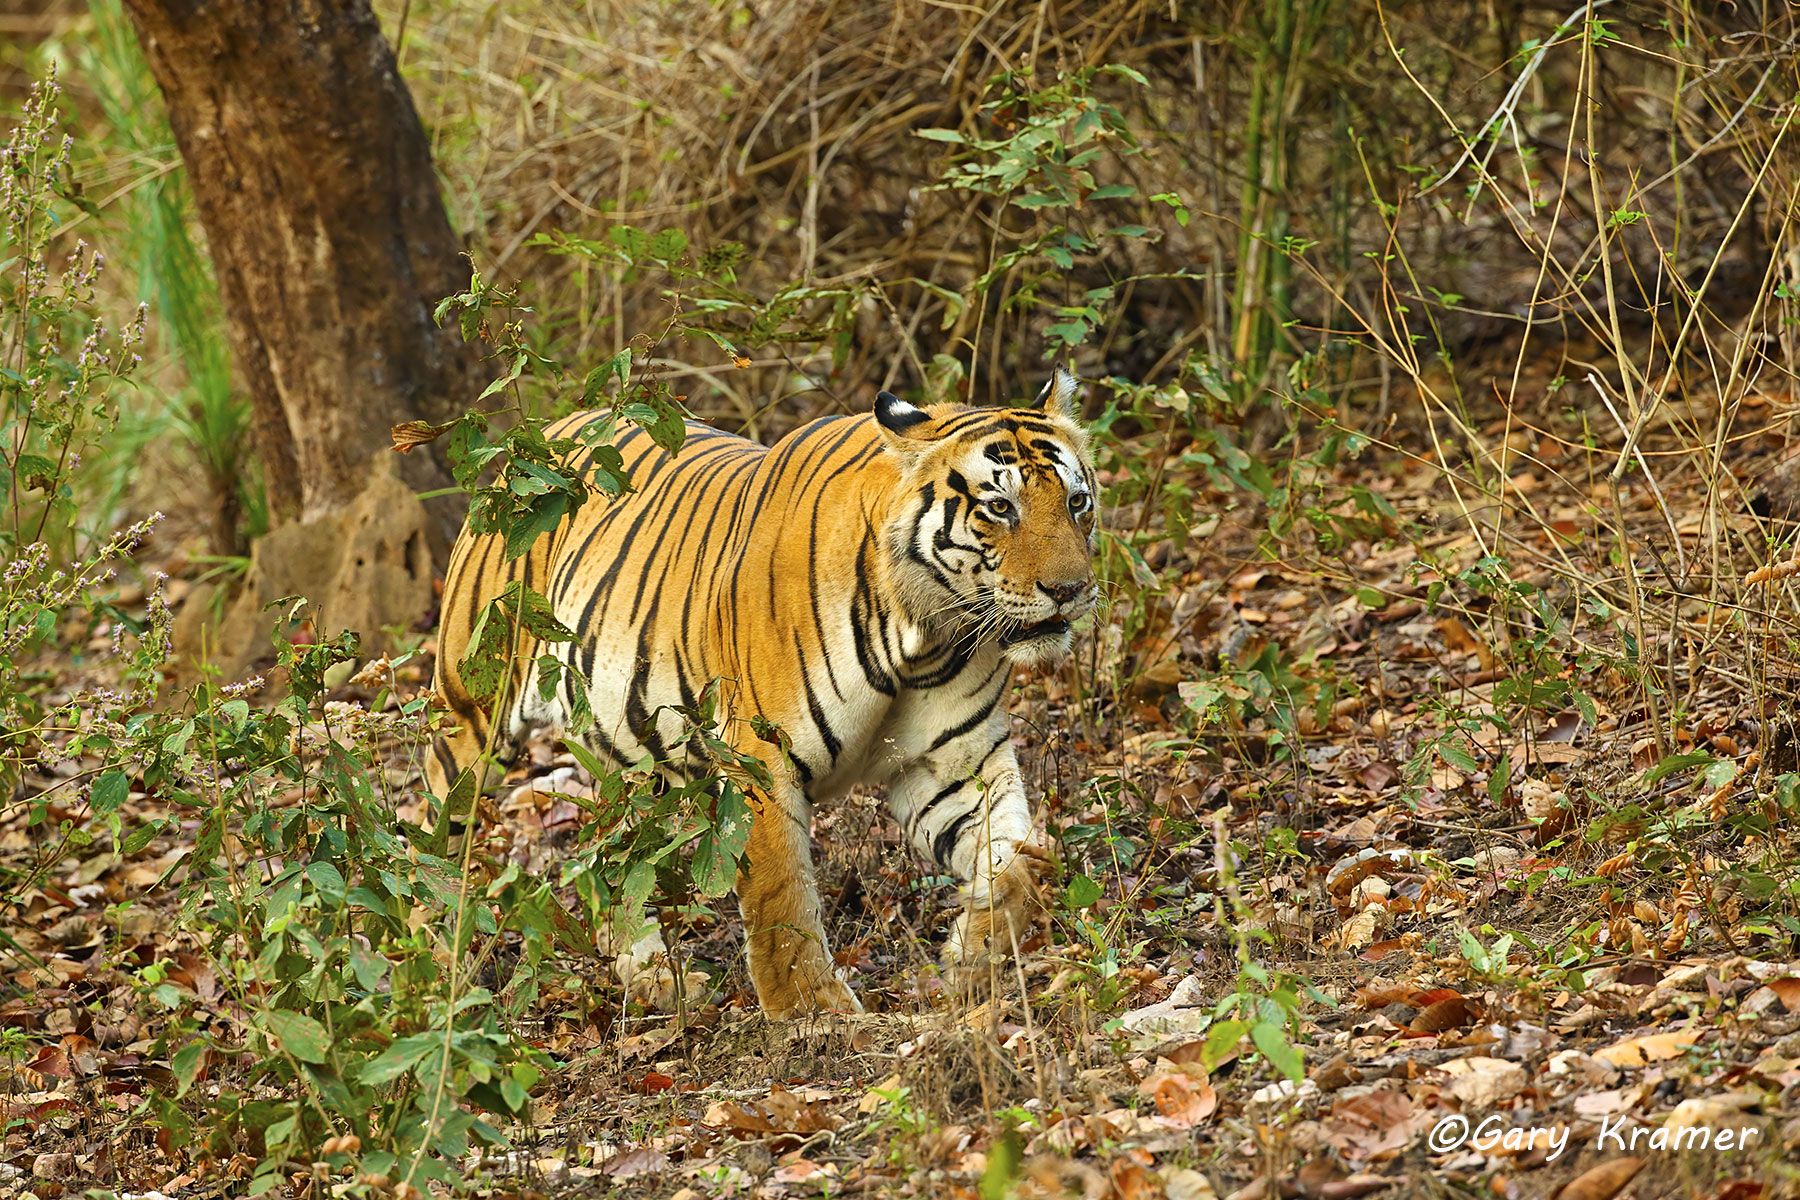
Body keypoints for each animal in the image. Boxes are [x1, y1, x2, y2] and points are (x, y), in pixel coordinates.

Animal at [425, 370, 1099, 1018]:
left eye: (1077, 502)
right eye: (999, 507)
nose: (1070, 590)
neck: (927, 631)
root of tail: (544, 431)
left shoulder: (955, 763)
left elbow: (1017, 865)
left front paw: (971, 959)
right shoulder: (762, 759)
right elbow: (781, 897)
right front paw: (814, 1013)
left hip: (641, 759)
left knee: (613, 856)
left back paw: (651, 978)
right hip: (470, 715)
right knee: (433, 841)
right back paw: (437, 973)